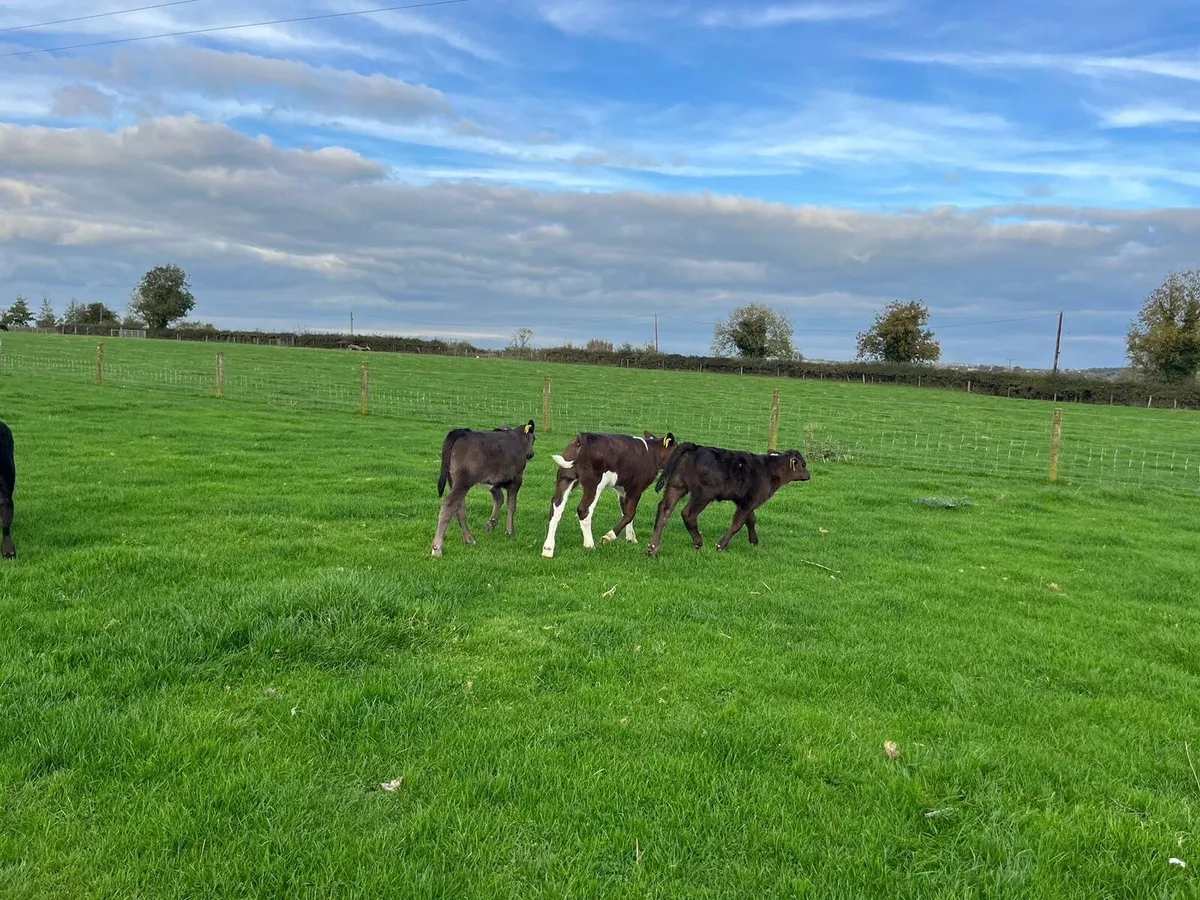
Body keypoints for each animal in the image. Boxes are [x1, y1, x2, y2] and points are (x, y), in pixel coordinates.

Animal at [432, 420, 536, 558]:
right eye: (534, 438)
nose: (531, 454)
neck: (517, 438)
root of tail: (463, 432)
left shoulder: (493, 482)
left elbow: (499, 499)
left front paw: (492, 523)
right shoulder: (516, 479)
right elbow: (511, 505)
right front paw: (510, 531)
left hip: (453, 480)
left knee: (460, 507)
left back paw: (469, 539)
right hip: (463, 481)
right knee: (449, 504)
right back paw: (437, 547)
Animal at [541, 430, 677, 558]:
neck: (652, 453)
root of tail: (583, 437)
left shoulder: (622, 490)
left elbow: (625, 513)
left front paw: (631, 538)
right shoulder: (636, 488)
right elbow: (631, 514)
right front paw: (609, 537)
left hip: (566, 478)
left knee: (556, 507)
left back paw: (548, 549)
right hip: (594, 484)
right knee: (584, 510)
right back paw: (590, 545)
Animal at [645, 444, 810, 556]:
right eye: (803, 464)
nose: (808, 475)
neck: (769, 469)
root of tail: (696, 447)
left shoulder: (743, 501)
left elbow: (751, 520)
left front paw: (754, 541)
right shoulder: (750, 501)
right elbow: (738, 524)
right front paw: (720, 545)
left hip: (677, 486)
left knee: (664, 510)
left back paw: (652, 548)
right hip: (704, 494)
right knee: (688, 514)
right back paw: (698, 542)